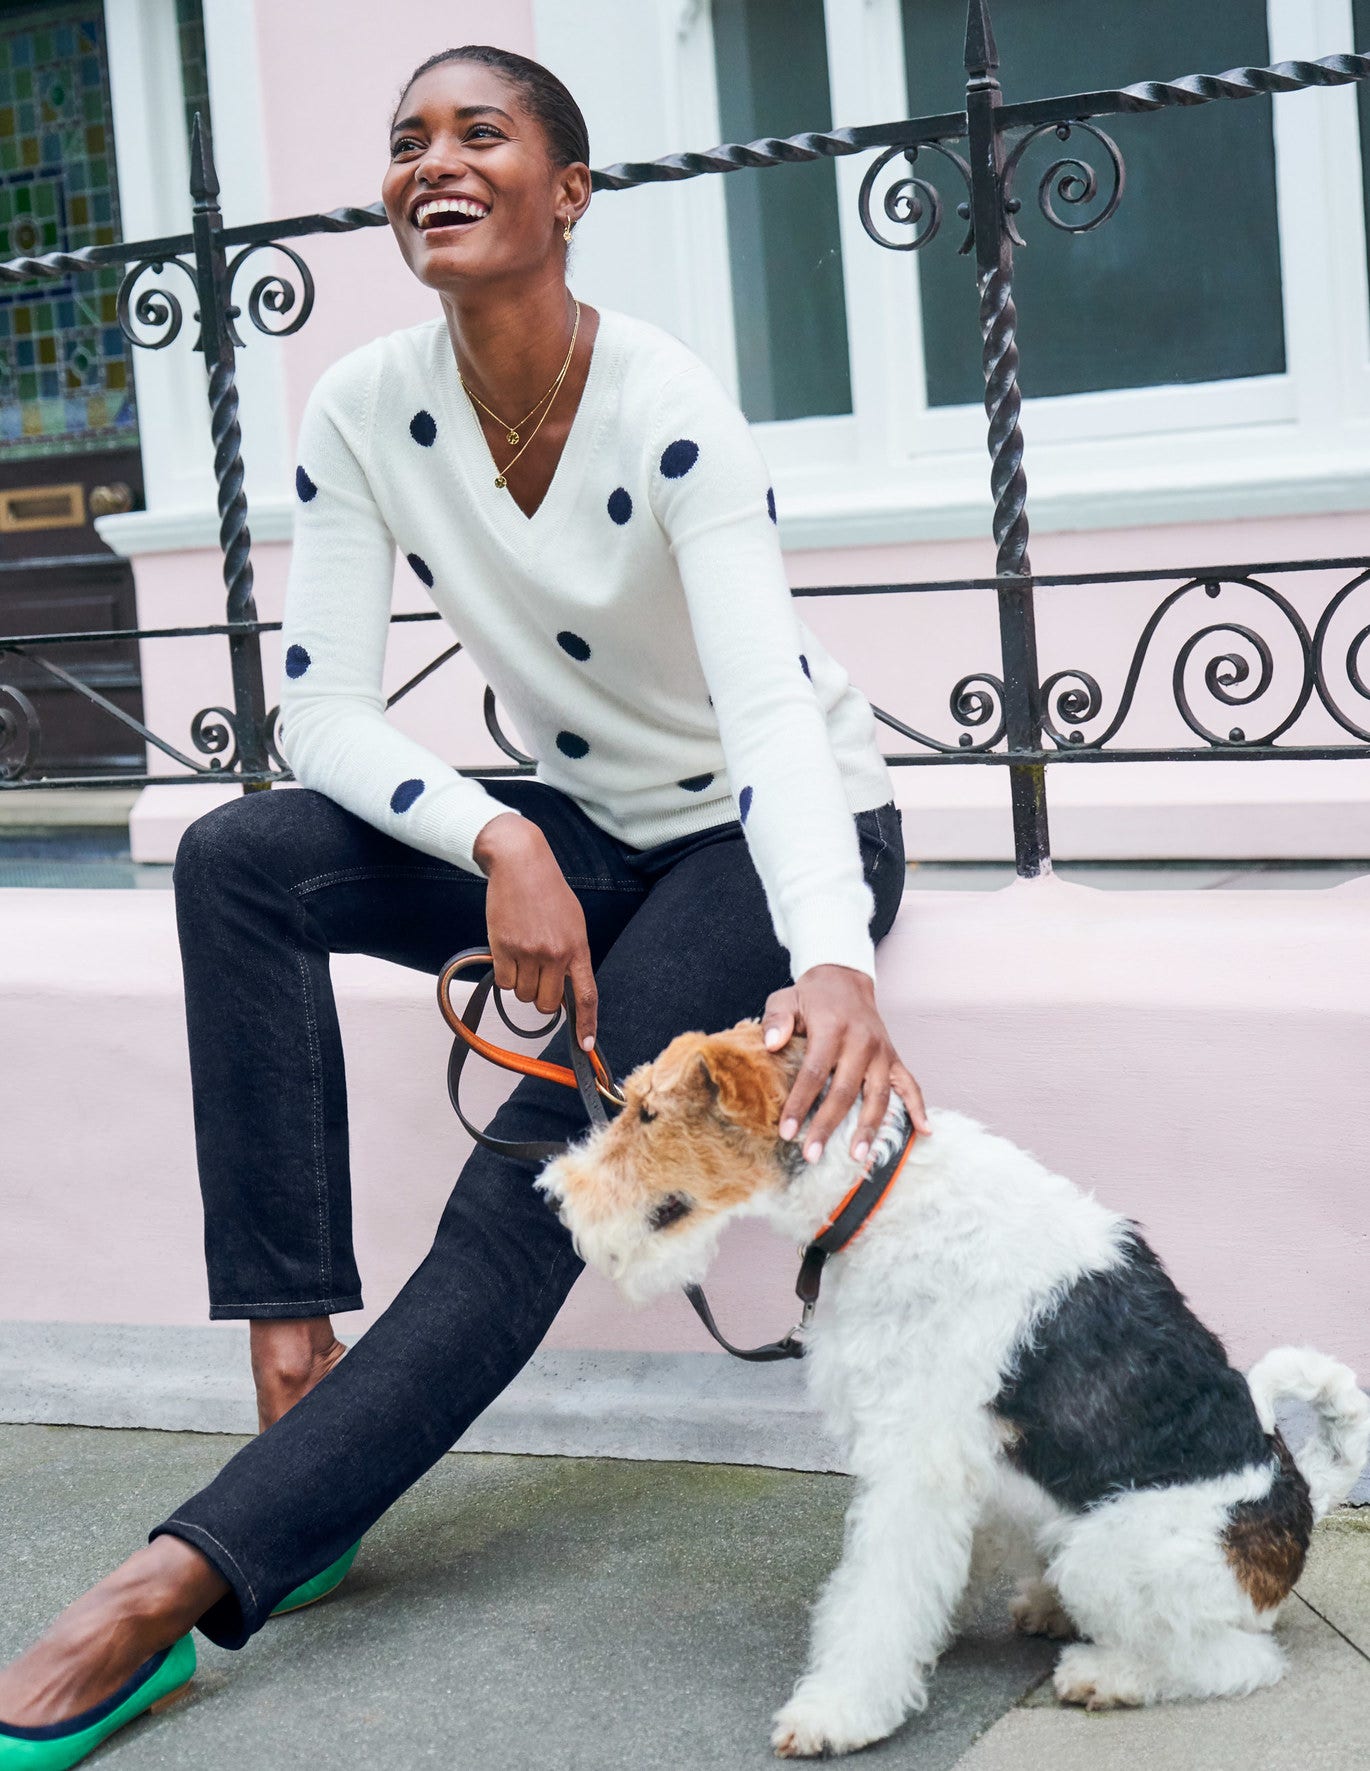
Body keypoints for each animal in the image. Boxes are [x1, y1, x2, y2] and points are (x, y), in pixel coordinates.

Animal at [537, 1020, 1370, 1759]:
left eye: (648, 1113)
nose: (555, 1197)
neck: (872, 1191)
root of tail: (1304, 1497)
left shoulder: (915, 1460)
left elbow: (876, 1597)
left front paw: (836, 1712)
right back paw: (1050, 1609)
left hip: (1115, 1551)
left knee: (1233, 1657)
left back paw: (1107, 1673)